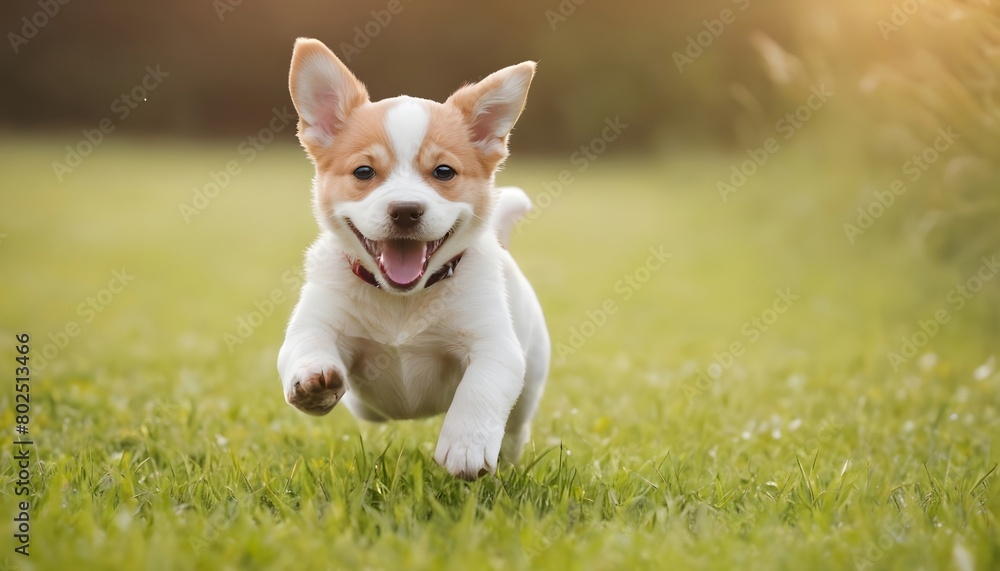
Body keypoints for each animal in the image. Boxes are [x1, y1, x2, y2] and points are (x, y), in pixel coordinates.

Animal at [278, 38, 552, 480]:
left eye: (443, 172)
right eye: (364, 172)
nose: (406, 210)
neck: (403, 301)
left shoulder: (494, 346)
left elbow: (480, 389)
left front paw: (466, 447)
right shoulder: (315, 324)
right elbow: (306, 347)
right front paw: (312, 381)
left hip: (530, 382)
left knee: (515, 426)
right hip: (367, 409)